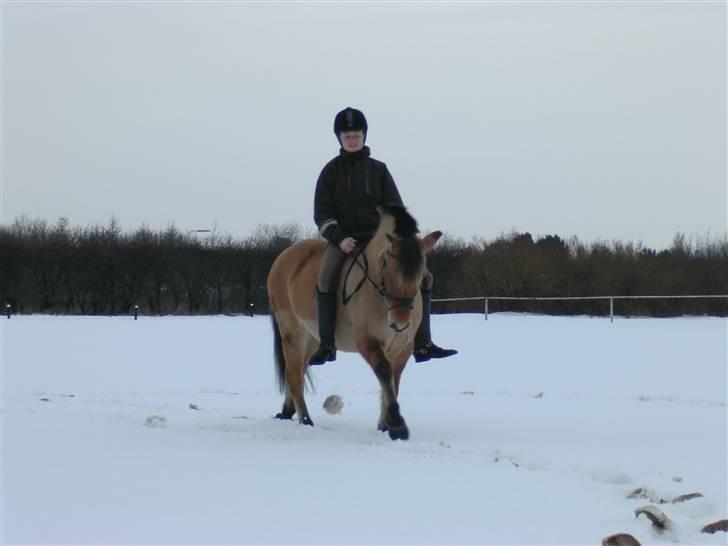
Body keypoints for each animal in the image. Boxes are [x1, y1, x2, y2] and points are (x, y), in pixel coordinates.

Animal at [264, 204, 440, 438]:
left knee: (298, 370)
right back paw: (306, 420)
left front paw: (384, 424)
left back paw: (287, 411)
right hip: (293, 332)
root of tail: (284, 257)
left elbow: (393, 380)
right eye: (387, 265)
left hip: (312, 338)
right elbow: (384, 372)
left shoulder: (402, 347)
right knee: (293, 375)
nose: (400, 323)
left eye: (420, 272)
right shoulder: (368, 342)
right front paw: (396, 425)